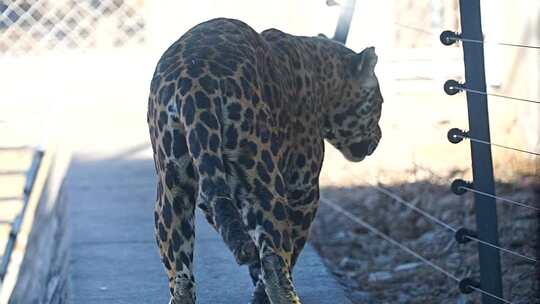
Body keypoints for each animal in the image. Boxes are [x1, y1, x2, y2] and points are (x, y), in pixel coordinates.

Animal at [147, 17, 384, 304]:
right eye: (380, 103)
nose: (380, 136)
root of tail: (195, 80)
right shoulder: (304, 191)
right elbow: (287, 250)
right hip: (263, 182)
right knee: (274, 263)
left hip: (172, 189)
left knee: (180, 274)